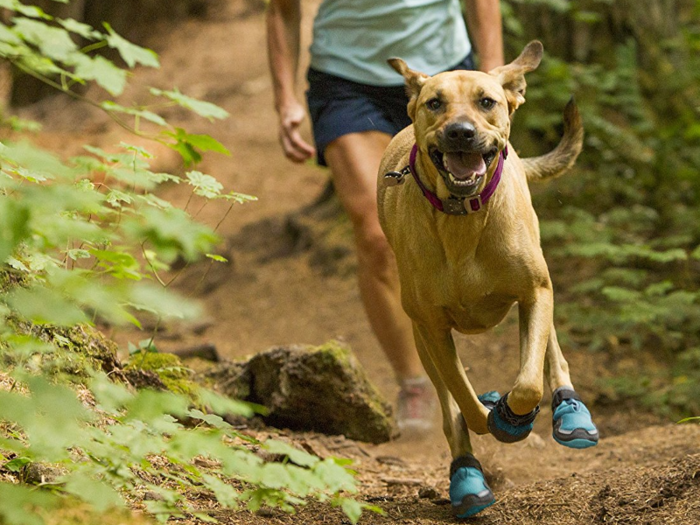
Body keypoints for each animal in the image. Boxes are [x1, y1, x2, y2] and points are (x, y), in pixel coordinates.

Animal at [378, 41, 596, 516]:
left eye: (487, 102)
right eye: (435, 103)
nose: (460, 132)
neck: (463, 219)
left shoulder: (533, 292)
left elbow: (529, 383)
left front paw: (514, 415)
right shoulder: (432, 328)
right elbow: (464, 401)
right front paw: (495, 416)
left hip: (540, 283)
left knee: (552, 350)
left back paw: (569, 411)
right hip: (420, 338)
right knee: (449, 406)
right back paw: (469, 477)